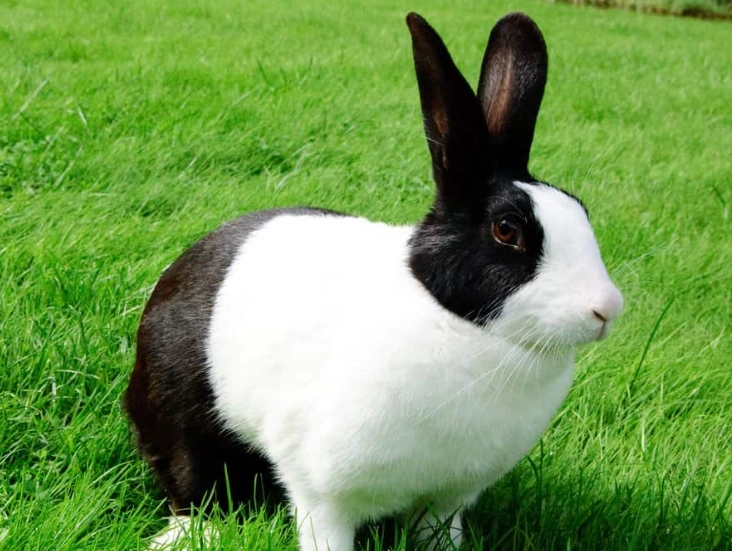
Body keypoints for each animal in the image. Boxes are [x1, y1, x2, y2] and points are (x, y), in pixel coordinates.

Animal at [124, 11, 623, 551]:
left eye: (581, 210)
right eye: (507, 230)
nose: (606, 309)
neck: (462, 327)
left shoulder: (448, 498)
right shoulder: (322, 494)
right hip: (182, 419)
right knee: (191, 483)